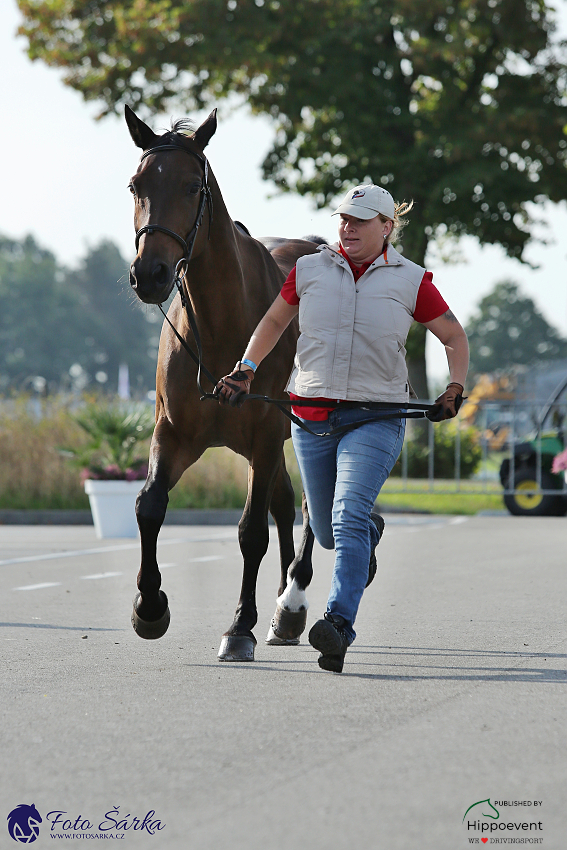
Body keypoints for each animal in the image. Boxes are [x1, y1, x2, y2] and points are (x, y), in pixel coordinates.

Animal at [125, 106, 318, 660]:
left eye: (193, 186)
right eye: (136, 185)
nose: (150, 273)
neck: (220, 326)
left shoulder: (263, 434)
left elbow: (251, 531)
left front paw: (239, 627)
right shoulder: (174, 433)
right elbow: (149, 507)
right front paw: (150, 607)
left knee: (310, 505)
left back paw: (292, 598)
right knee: (285, 503)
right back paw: (285, 611)